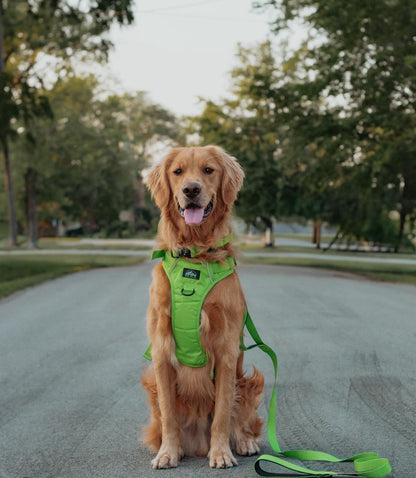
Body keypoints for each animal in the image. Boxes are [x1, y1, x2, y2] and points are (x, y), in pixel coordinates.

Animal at [141, 144, 264, 468]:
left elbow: (222, 413)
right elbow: (169, 415)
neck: (194, 256)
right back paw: (179, 448)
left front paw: (220, 452)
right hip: (151, 382)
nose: (191, 189)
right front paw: (168, 452)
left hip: (248, 382)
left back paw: (244, 442)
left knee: (242, 420)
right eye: (178, 172)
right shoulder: (161, 350)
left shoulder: (226, 349)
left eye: (208, 170)